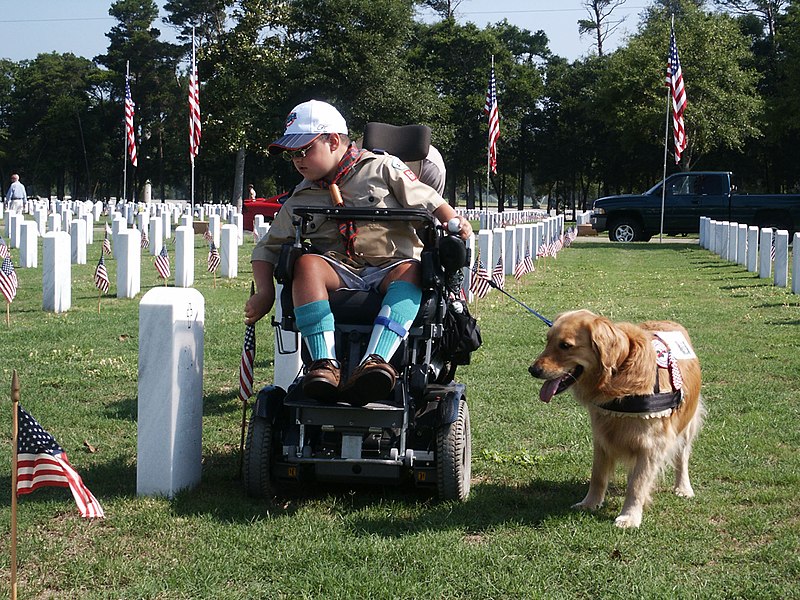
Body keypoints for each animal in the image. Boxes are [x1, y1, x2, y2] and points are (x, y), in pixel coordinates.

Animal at [532, 312, 708, 528]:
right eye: (548, 340)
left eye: (565, 345)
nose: (533, 370)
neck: (618, 377)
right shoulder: (602, 436)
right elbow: (598, 476)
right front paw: (589, 503)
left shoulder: (653, 444)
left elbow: (638, 484)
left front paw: (630, 516)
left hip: (686, 425)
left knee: (682, 457)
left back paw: (683, 488)